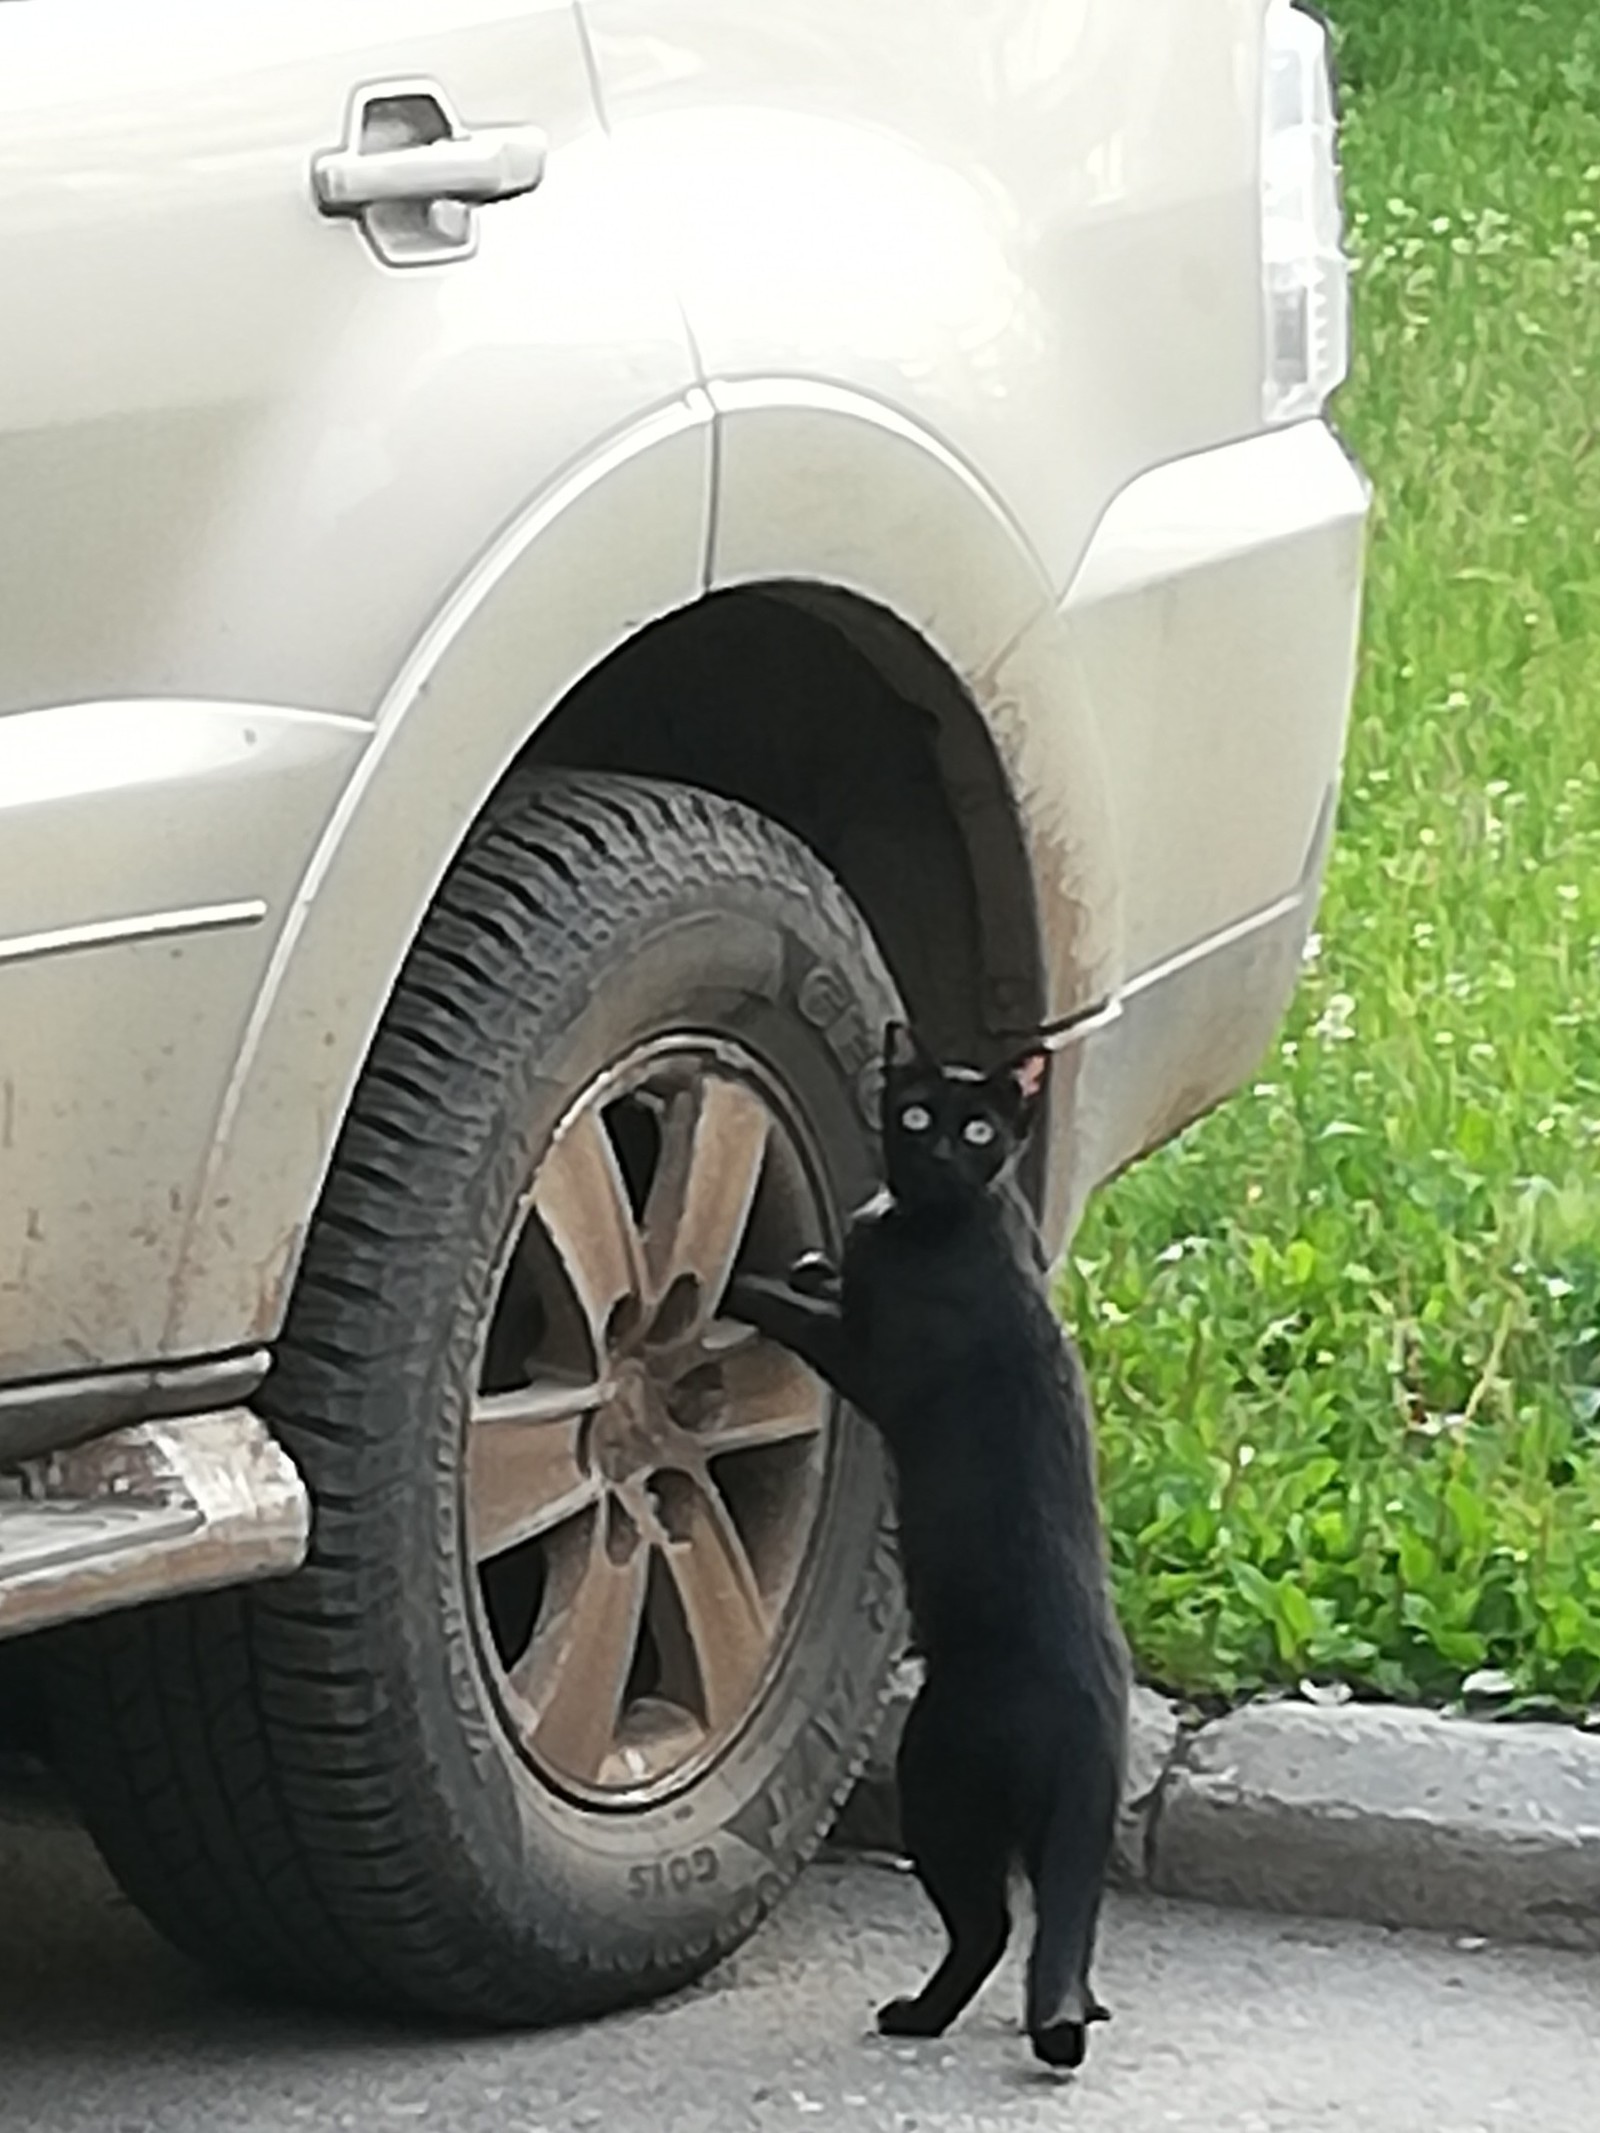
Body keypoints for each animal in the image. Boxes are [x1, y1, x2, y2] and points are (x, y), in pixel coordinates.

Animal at [733, 1023, 1134, 2073]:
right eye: (915, 1113)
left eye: (979, 1127)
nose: (943, 1151)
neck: (944, 1221)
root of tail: (1092, 1724)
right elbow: (825, 1284)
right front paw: (809, 1263)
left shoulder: (873, 1361)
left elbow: (809, 1323)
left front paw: (754, 1285)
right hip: (1043, 1834)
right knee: (1064, 1929)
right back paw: (1084, 2004)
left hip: (939, 1780)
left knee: (989, 1928)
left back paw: (917, 2013)